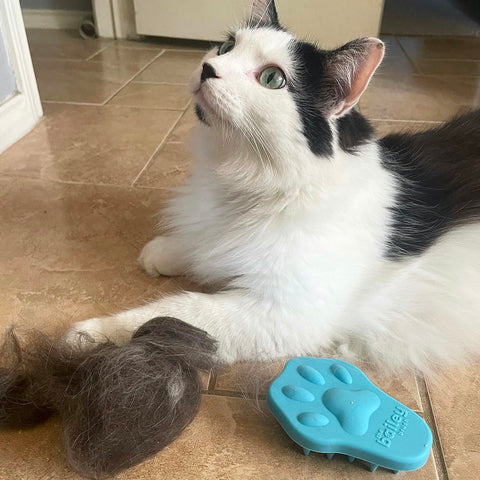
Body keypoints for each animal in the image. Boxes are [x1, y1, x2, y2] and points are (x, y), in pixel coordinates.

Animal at [69, 0, 478, 376]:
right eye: (226, 47)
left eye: (272, 79)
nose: (208, 68)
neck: (248, 182)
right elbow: (201, 245)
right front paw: (166, 252)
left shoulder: (283, 313)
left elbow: (176, 312)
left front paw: (92, 333)